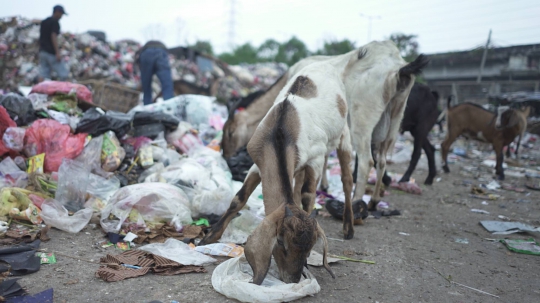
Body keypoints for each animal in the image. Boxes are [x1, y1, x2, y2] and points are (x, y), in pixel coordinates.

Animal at [200, 61, 352, 284]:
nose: (292, 278)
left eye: (311, 247)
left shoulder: (315, 160)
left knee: (347, 179)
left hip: (344, 135)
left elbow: (308, 196)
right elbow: (239, 198)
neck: (280, 131)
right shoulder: (258, 163)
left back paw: (349, 227)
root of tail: (326, 62)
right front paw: (209, 237)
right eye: (280, 241)